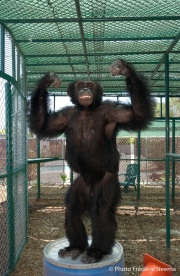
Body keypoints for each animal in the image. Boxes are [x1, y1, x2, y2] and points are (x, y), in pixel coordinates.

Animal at [28, 59, 155, 264]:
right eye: (80, 84)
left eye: (89, 84)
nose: (85, 89)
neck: (86, 110)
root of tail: (91, 184)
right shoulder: (63, 116)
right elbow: (42, 124)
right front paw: (48, 81)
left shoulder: (113, 112)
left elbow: (136, 113)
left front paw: (124, 69)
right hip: (80, 183)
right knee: (72, 209)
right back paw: (76, 247)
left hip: (107, 182)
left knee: (101, 211)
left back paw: (96, 251)